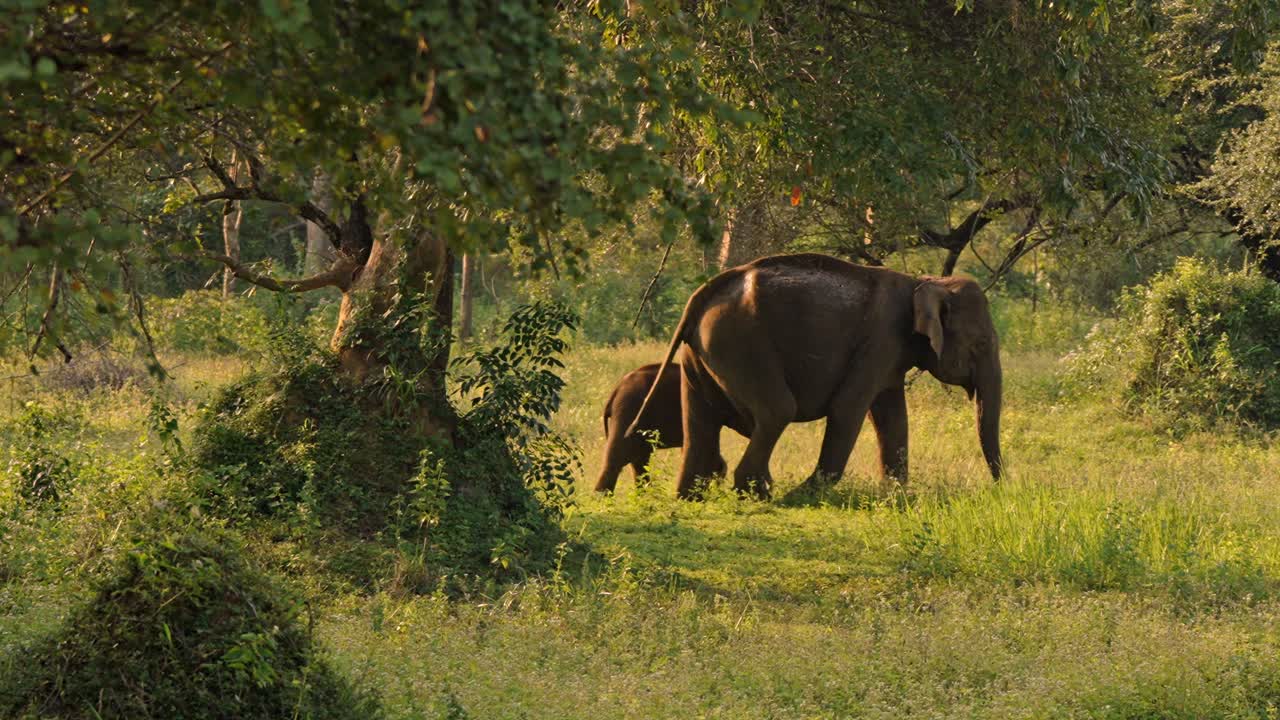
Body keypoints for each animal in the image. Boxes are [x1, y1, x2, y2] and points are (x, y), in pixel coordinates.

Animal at [627, 253, 1002, 499]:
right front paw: (802, 496)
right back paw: (762, 494)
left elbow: (893, 416)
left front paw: (895, 497)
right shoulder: (880, 340)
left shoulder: (891, 354)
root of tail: (700, 296)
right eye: (981, 343)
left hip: (702, 353)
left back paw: (690, 497)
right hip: (739, 341)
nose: (1000, 487)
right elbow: (848, 408)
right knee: (778, 410)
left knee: (700, 418)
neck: (925, 282)